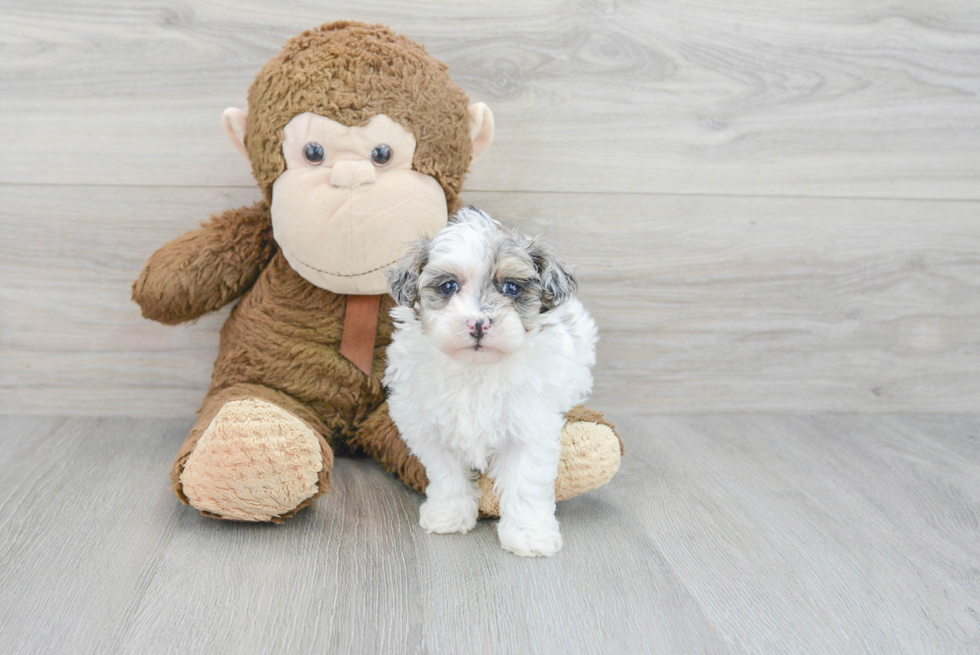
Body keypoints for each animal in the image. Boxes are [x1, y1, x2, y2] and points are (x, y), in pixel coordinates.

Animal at [382, 208, 596, 556]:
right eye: (449, 286)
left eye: (511, 288)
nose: (478, 322)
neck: (477, 370)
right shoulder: (429, 427)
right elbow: (446, 473)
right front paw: (449, 514)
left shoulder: (529, 428)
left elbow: (525, 482)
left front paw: (529, 534)